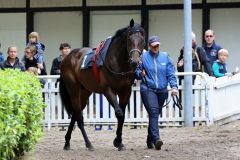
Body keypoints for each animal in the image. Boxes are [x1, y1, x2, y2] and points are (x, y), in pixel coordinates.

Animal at [59, 19, 144, 151]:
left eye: (142, 39)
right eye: (129, 39)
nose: (135, 62)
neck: (117, 62)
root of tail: (66, 58)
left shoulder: (126, 91)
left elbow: (122, 116)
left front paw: (119, 142)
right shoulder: (108, 90)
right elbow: (119, 113)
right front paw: (118, 141)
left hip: (85, 91)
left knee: (75, 114)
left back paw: (67, 142)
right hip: (74, 89)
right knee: (79, 116)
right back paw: (88, 143)